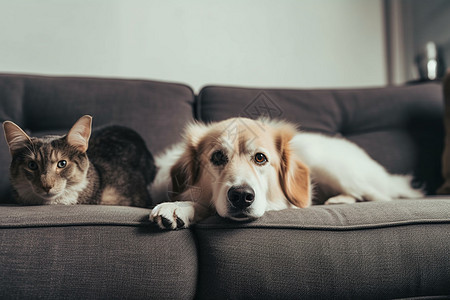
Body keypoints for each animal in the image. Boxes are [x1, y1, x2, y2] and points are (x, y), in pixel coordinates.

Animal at [149, 117, 424, 230]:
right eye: (217, 157)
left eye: (260, 158)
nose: (242, 196)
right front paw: (179, 206)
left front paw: (179, 207)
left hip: (332, 167)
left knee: (379, 196)